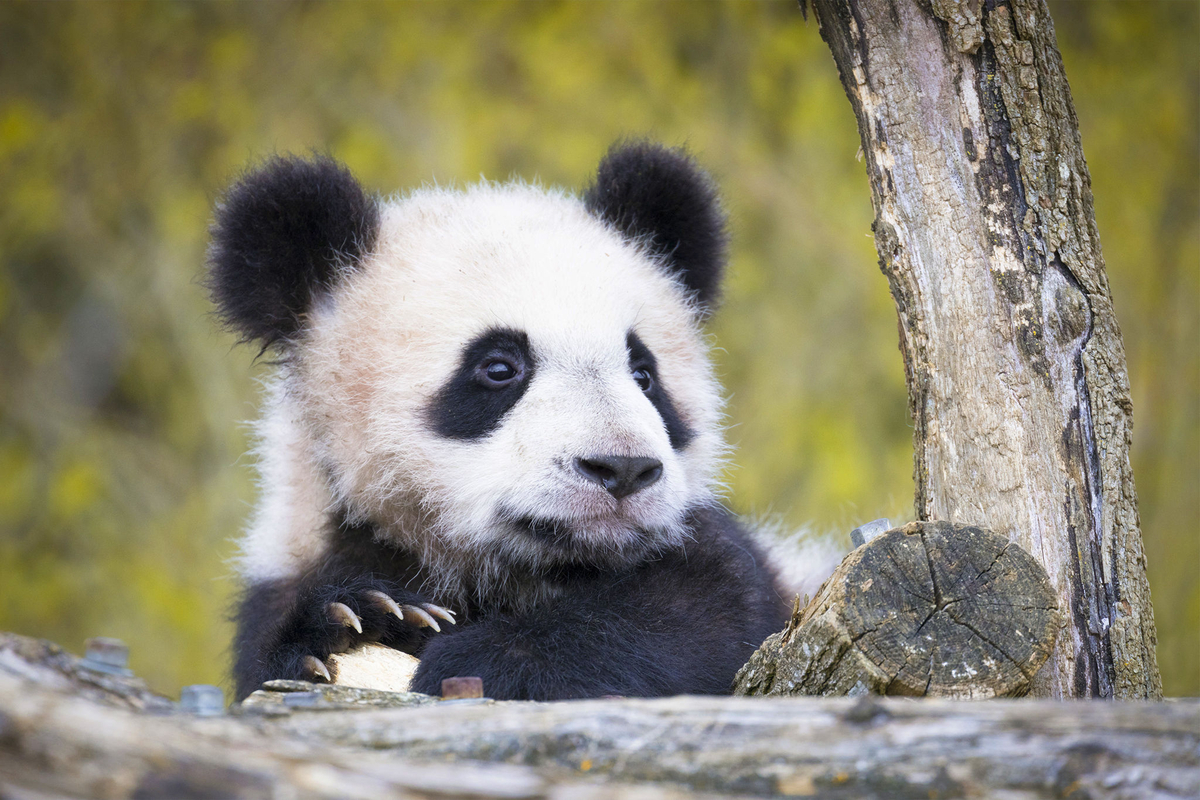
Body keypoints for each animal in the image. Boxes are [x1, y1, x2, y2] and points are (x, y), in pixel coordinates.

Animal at [208, 142, 806, 700]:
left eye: (643, 373)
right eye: (499, 367)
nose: (622, 468)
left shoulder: (731, 570)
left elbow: (698, 617)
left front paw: (487, 660)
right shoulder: (299, 561)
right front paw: (358, 620)